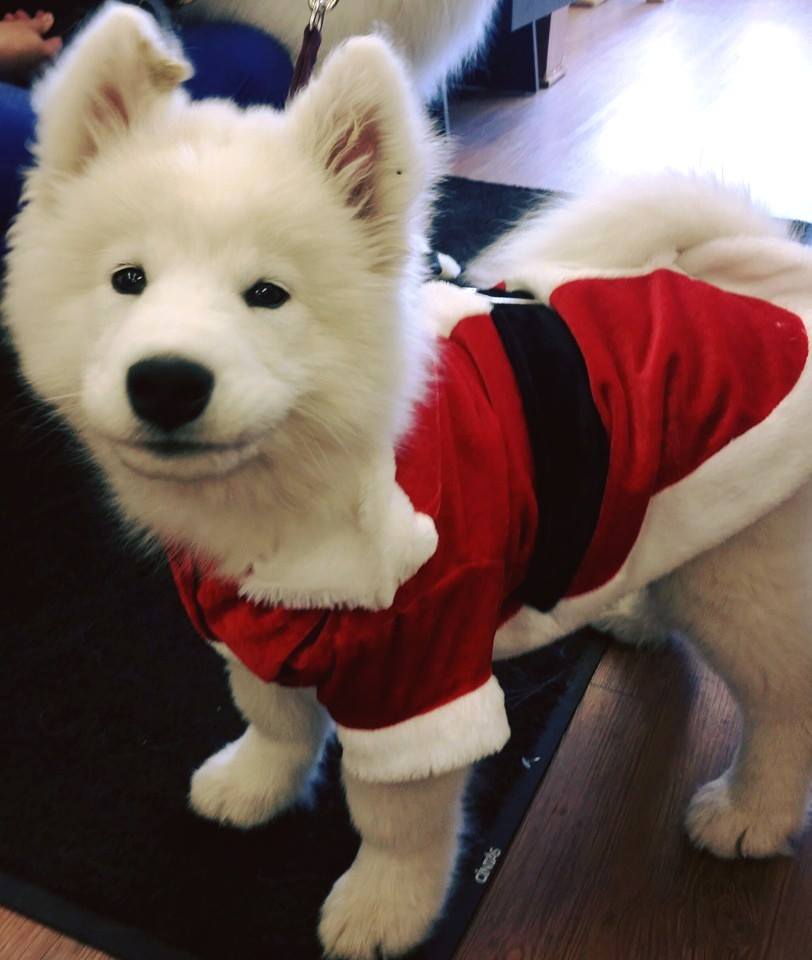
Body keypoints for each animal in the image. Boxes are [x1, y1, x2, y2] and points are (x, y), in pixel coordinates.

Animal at [5, 5, 812, 959]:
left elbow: (397, 818)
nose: (166, 381)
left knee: (784, 707)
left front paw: (384, 909)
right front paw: (254, 785)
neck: (303, 488)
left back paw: (750, 812)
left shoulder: (420, 667)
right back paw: (634, 615)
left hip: (749, 580)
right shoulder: (256, 623)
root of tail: (767, 284)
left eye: (267, 295)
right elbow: (274, 720)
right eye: (127, 280)